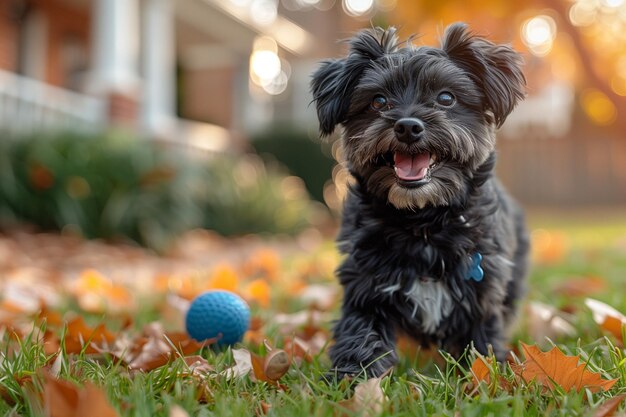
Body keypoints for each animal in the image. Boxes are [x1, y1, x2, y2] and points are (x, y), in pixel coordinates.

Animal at [310, 23, 528, 380]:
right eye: (378, 101)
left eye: (446, 97)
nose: (408, 126)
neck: (422, 222)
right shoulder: (366, 286)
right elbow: (361, 333)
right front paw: (351, 378)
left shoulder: (481, 294)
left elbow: (481, 343)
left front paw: (486, 377)